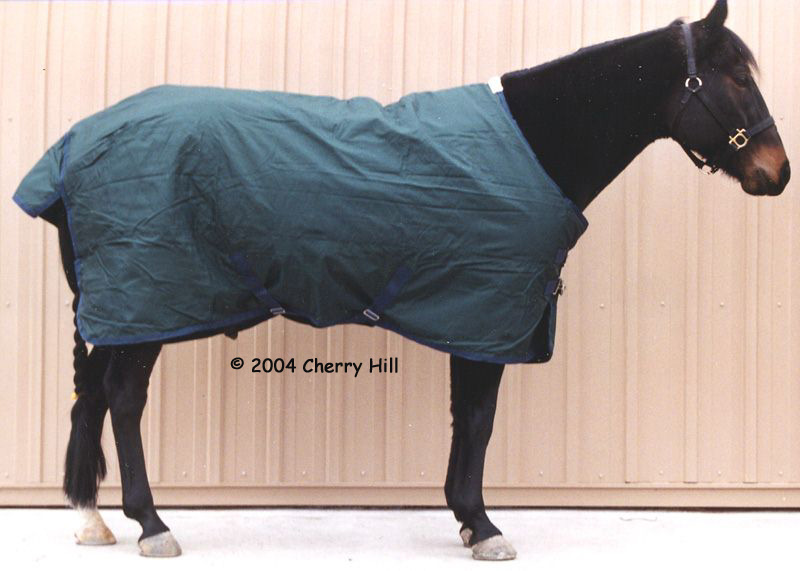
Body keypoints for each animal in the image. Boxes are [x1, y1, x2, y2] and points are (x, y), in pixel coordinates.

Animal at [13, 0, 789, 561]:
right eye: (736, 79)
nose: (777, 173)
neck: (531, 144)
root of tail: (73, 146)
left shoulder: (470, 312)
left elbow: (465, 418)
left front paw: (467, 518)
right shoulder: (485, 311)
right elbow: (477, 418)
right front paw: (483, 524)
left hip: (121, 307)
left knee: (92, 393)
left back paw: (91, 519)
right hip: (145, 302)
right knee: (123, 398)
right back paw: (150, 523)